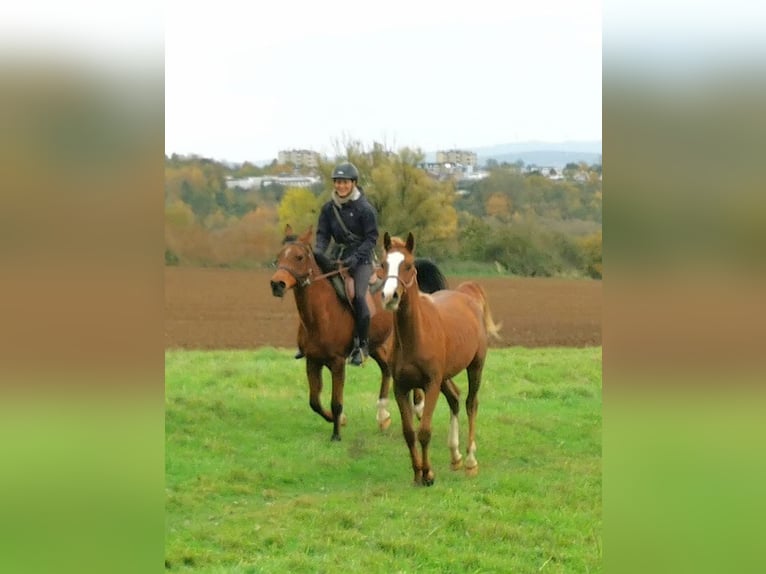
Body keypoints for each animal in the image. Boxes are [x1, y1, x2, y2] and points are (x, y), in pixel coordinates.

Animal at [272, 227, 448, 444]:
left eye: (299, 257)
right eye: (280, 255)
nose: (277, 284)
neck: (320, 314)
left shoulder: (337, 362)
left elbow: (336, 401)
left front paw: (336, 434)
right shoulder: (312, 361)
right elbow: (314, 401)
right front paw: (339, 420)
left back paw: (418, 408)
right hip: (374, 346)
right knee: (386, 370)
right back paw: (383, 417)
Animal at [382, 232, 504, 488]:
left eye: (408, 265)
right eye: (383, 264)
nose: (389, 296)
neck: (415, 336)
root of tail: (468, 295)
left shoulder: (430, 384)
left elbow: (424, 431)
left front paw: (428, 474)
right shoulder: (401, 387)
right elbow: (409, 432)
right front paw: (417, 473)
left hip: (475, 367)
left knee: (470, 404)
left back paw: (470, 461)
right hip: (445, 377)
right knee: (455, 399)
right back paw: (455, 455)